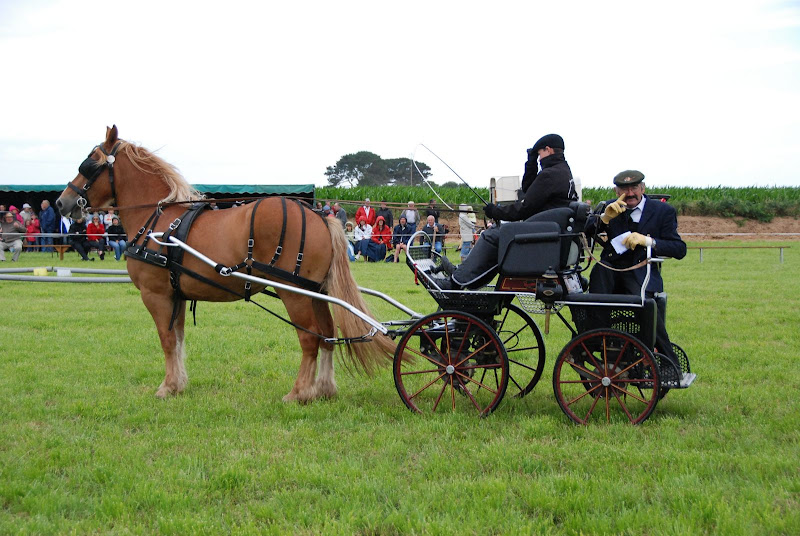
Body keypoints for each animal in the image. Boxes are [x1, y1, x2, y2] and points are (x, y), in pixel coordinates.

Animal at [55, 126, 394, 402]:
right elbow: (178, 339)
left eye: (90, 163)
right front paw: (178, 384)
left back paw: (299, 392)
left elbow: (166, 340)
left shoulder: (156, 295)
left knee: (310, 337)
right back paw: (324, 388)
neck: (157, 222)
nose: (61, 202)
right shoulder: (177, 295)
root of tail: (319, 216)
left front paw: (167, 387)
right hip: (315, 292)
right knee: (327, 334)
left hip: (293, 292)